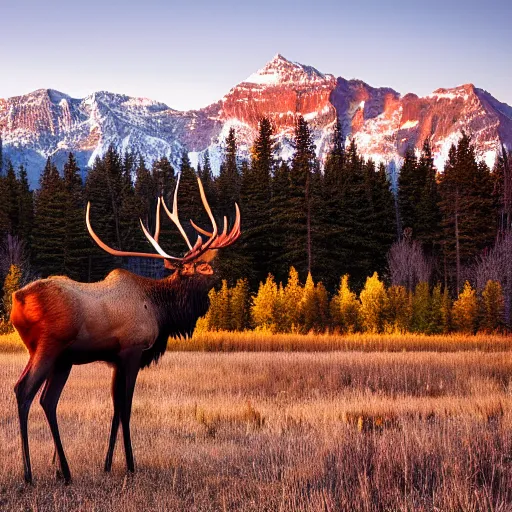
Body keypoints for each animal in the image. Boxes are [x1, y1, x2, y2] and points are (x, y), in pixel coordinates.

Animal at [12, 176, 240, 484]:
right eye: (204, 265)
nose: (223, 271)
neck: (162, 311)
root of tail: (17, 300)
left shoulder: (115, 359)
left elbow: (115, 407)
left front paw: (108, 464)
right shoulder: (133, 351)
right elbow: (127, 407)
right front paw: (131, 465)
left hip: (59, 359)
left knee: (48, 401)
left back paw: (64, 471)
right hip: (49, 348)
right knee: (24, 391)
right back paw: (29, 474)